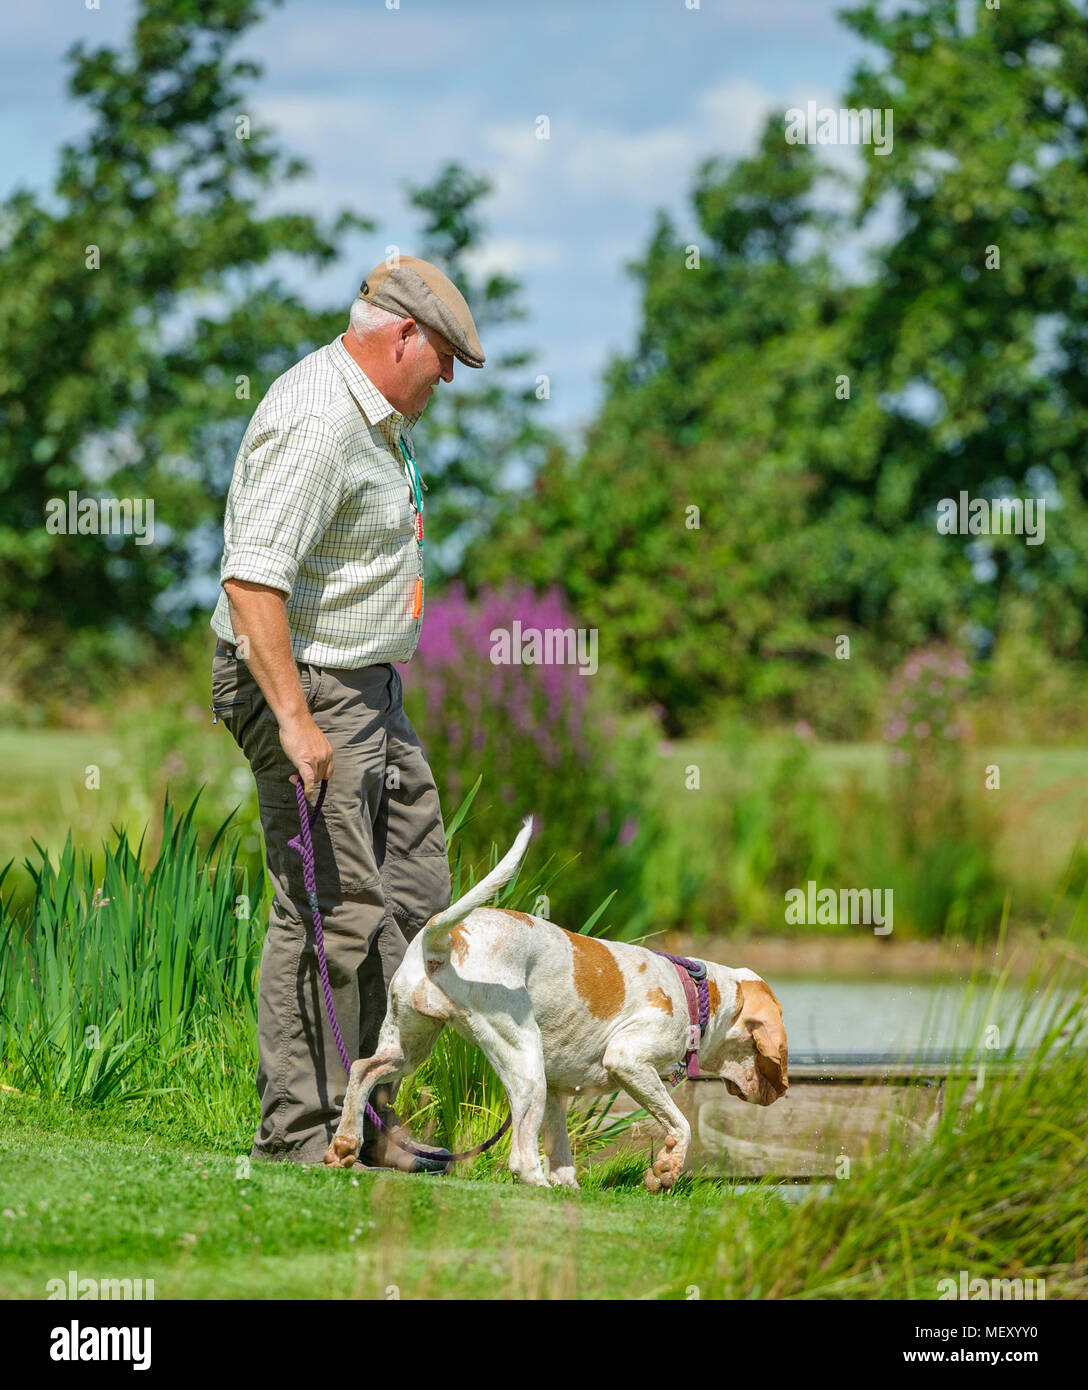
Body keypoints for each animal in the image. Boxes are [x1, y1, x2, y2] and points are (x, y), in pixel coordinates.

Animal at [319, 817, 789, 1189]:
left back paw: (344, 1145)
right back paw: (535, 1181)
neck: (697, 996)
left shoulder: (561, 1093)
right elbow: (681, 1124)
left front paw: (571, 1189)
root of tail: (443, 937)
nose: (779, 1093)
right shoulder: (629, 1063)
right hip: (525, 1061)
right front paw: (665, 1170)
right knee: (520, 1156)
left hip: (411, 1045)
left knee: (363, 1070)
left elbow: (562, 1151)